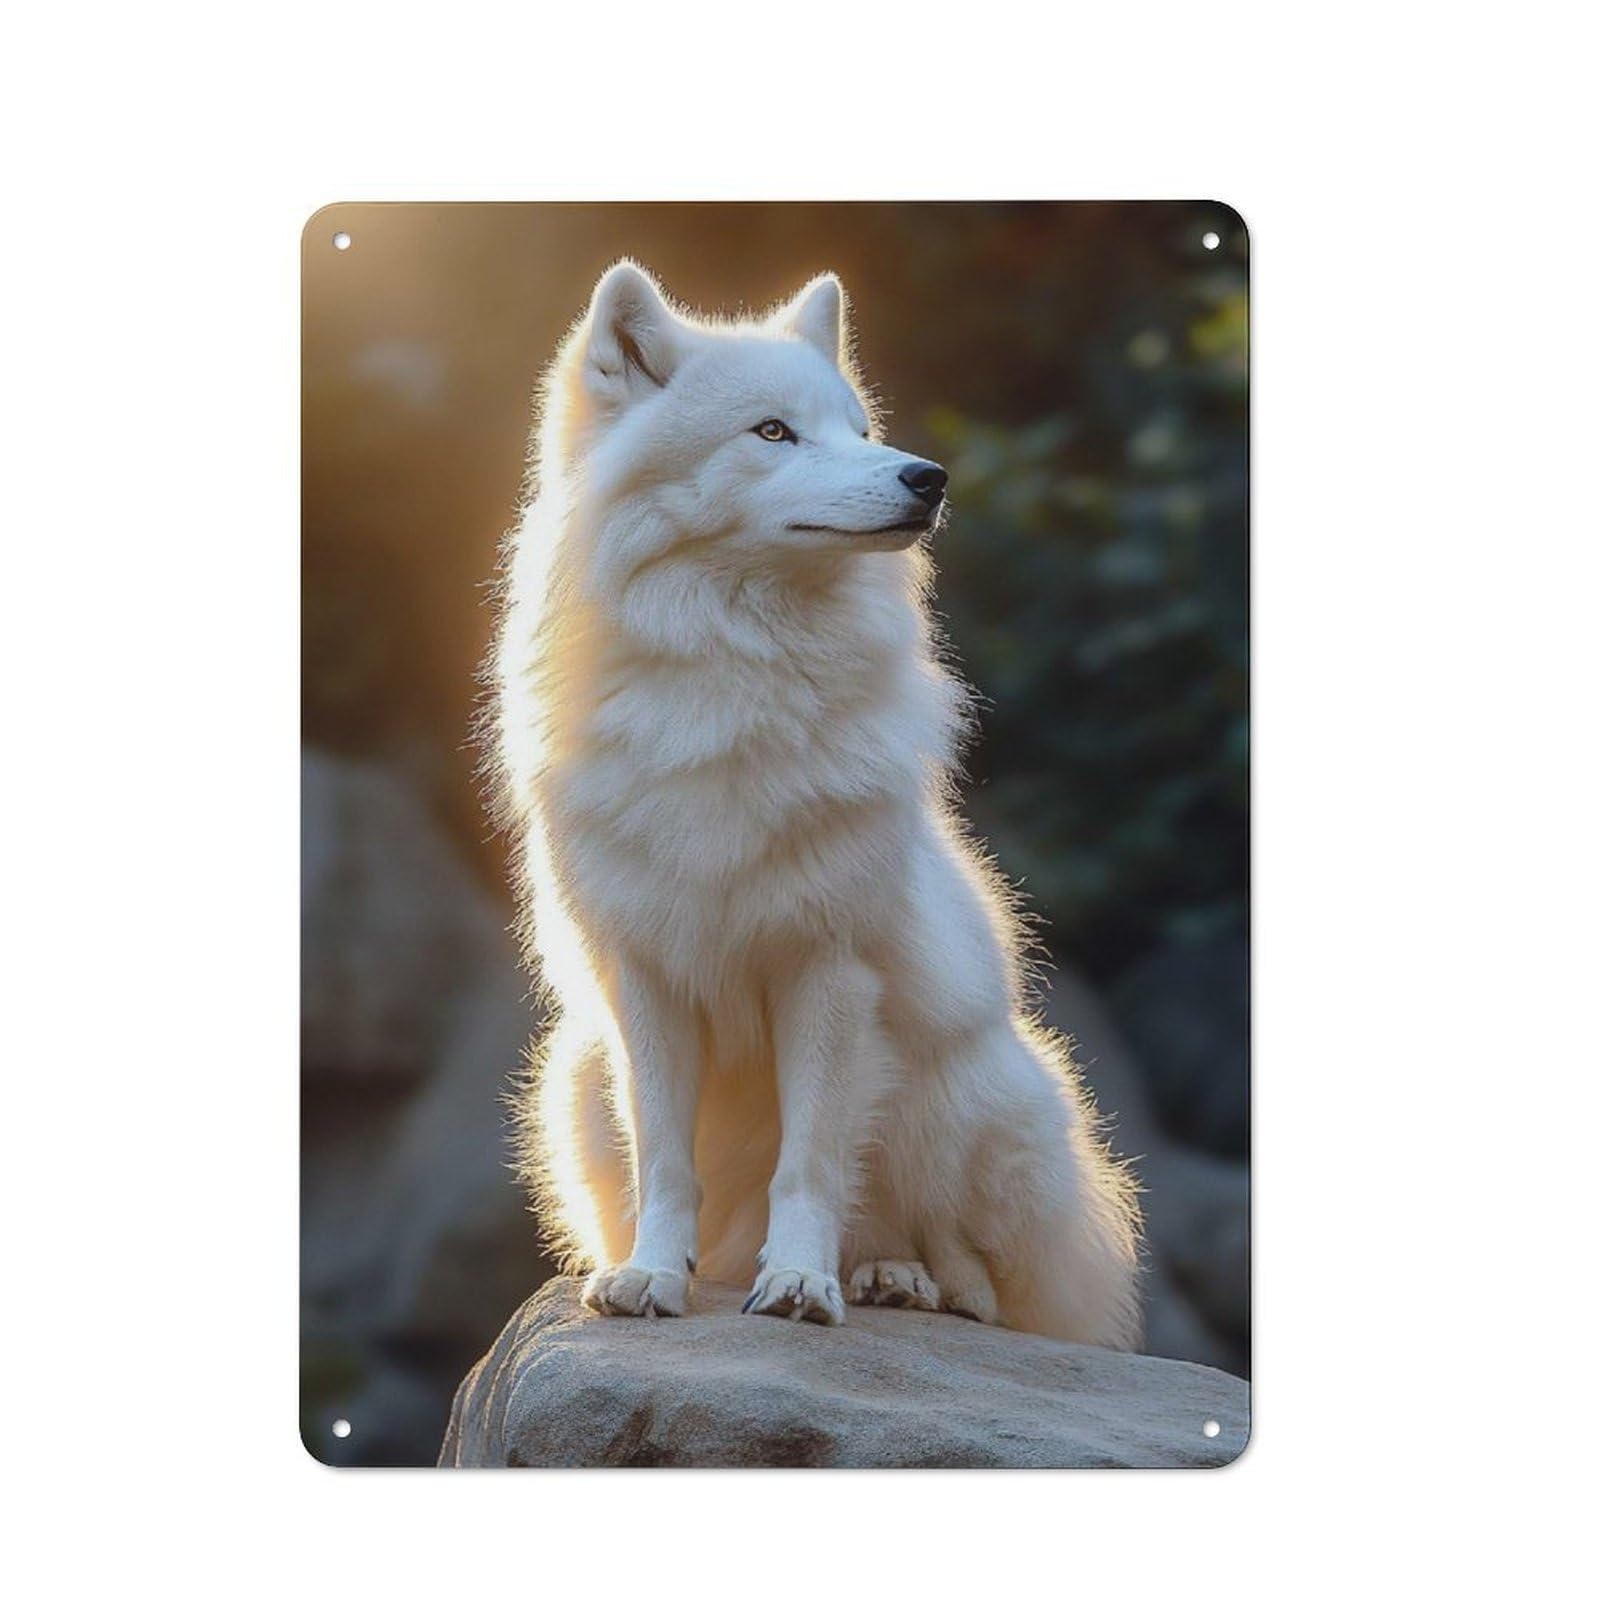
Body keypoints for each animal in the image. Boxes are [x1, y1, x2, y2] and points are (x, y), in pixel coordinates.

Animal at [490, 262, 1141, 1346]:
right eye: (772, 432)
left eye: (859, 428)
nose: (928, 476)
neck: (731, 681)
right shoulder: (647, 983)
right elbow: (668, 1161)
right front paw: (652, 1277)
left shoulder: (827, 972)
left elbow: (812, 1166)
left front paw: (799, 1283)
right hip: (573, 1079)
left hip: (962, 1087)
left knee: (969, 1267)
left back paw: (896, 1277)